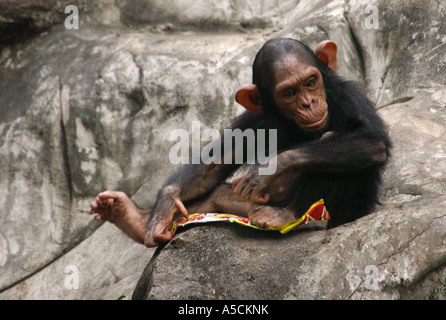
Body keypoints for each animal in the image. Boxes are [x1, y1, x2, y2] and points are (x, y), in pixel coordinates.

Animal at [89, 38, 390, 248]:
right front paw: (164, 207)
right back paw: (132, 218)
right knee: (217, 195)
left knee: (332, 148)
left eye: (311, 82)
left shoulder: (348, 96)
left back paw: (286, 216)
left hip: (340, 215)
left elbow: (370, 141)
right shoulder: (255, 118)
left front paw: (269, 169)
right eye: (290, 93)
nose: (309, 103)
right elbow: (216, 162)